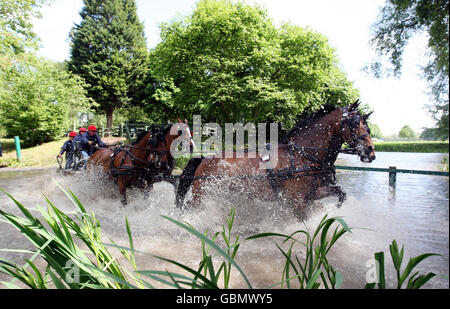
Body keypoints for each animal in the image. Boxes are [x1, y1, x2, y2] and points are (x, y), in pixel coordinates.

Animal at [176, 101, 376, 214]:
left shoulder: (313, 194)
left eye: (365, 124)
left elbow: (341, 194)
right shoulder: (297, 202)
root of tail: (204, 159)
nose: (370, 151)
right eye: (354, 123)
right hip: (201, 196)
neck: (302, 155)